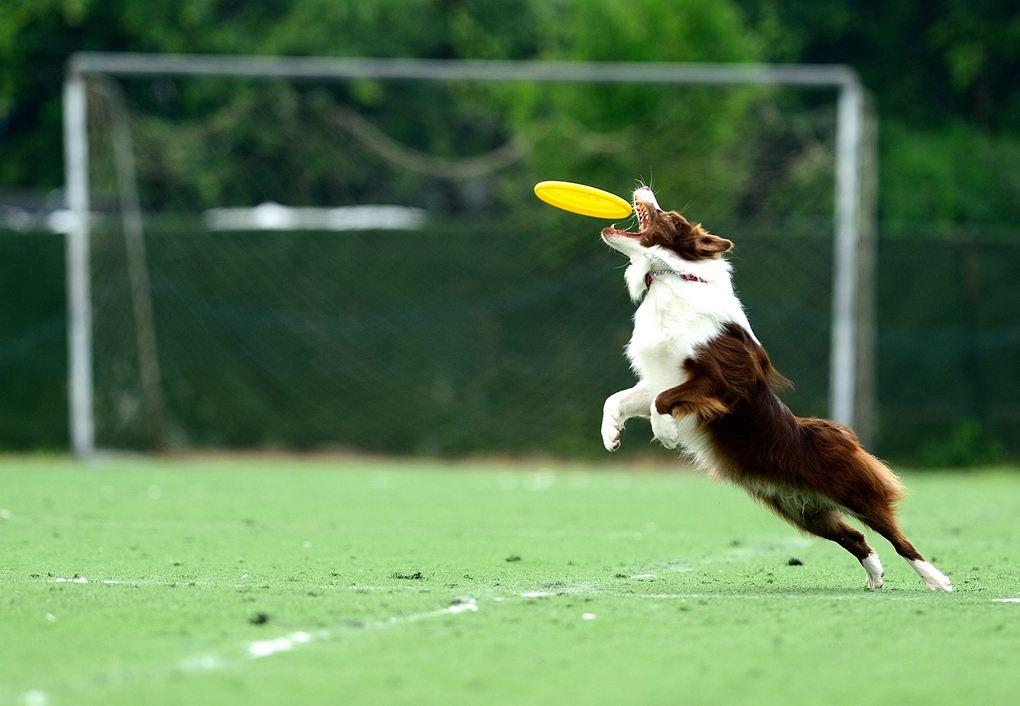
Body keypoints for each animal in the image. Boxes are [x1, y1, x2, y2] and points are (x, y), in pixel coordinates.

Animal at [599, 185, 950, 591]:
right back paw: (875, 576)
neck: (675, 277)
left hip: (852, 489)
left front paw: (666, 433)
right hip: (802, 510)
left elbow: (662, 401)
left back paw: (937, 580)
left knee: (896, 536)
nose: (642, 189)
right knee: (855, 536)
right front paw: (611, 436)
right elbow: (619, 399)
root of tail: (841, 434)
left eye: (670, 217)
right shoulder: (660, 376)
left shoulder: (725, 381)